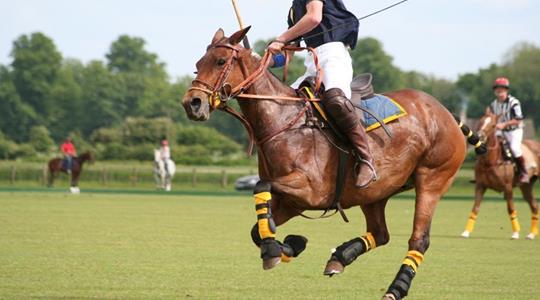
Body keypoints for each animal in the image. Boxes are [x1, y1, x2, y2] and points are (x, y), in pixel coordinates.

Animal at [181, 27, 480, 298]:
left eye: (220, 61)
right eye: (197, 65)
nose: (192, 103)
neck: (282, 121)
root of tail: (446, 112)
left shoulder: (310, 190)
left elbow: (260, 186)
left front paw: (274, 249)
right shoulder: (292, 201)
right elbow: (257, 229)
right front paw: (289, 245)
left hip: (432, 179)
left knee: (419, 239)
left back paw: (396, 288)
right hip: (376, 191)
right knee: (380, 233)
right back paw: (340, 257)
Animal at [460, 111, 540, 240]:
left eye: (493, 125)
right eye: (480, 121)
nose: (480, 136)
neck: (491, 161)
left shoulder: (507, 187)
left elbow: (511, 208)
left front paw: (515, 233)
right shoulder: (480, 186)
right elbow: (475, 208)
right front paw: (466, 232)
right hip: (526, 186)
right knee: (534, 205)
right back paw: (531, 234)